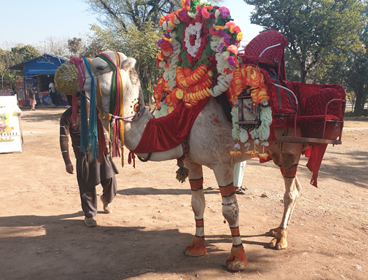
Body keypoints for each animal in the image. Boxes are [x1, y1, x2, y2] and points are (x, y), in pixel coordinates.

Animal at [54, 0, 344, 272]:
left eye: (100, 66)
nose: (62, 71)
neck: (185, 120)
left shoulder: (222, 163)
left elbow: (231, 209)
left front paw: (237, 259)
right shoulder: (191, 160)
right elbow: (197, 203)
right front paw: (196, 246)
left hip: (290, 148)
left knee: (290, 192)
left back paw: (280, 239)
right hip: (276, 150)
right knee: (295, 187)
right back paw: (276, 230)